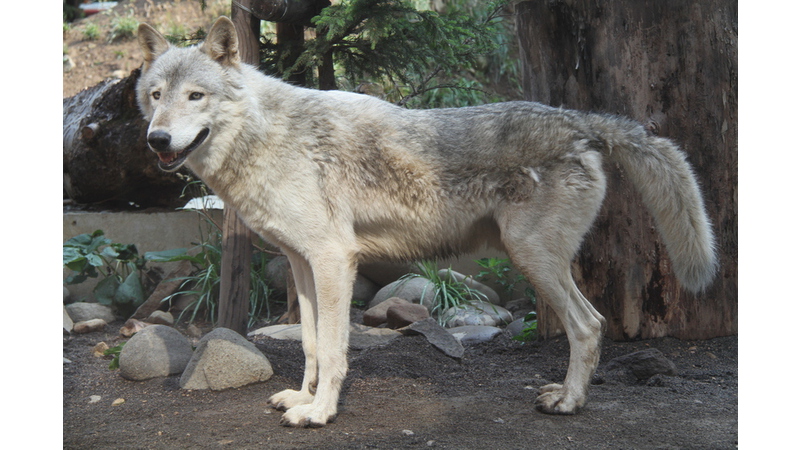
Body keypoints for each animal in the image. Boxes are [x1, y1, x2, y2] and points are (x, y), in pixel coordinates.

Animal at [134, 15, 716, 428]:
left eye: (196, 96)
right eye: (156, 96)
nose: (156, 140)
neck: (267, 135)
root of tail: (582, 120)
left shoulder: (333, 259)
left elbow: (336, 347)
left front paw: (320, 413)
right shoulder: (301, 262)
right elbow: (310, 343)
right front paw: (302, 397)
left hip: (531, 257)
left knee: (590, 325)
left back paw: (569, 402)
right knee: (591, 324)